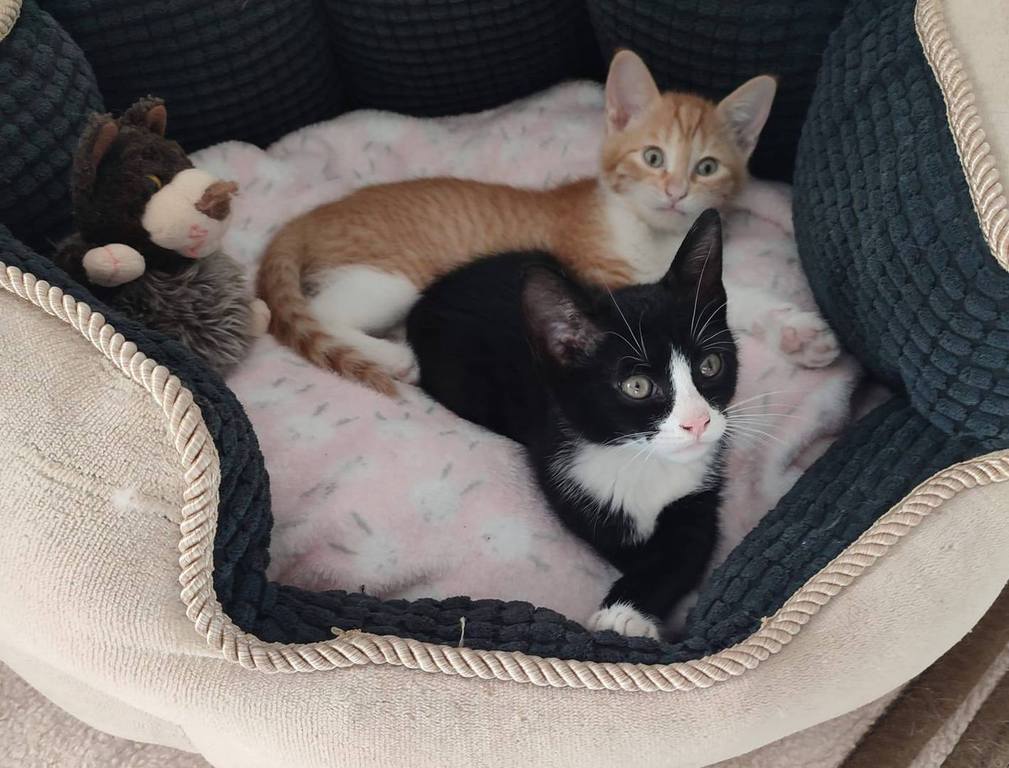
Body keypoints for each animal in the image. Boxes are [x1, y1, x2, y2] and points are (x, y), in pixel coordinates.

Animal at [256, 50, 834, 397]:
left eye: (706, 168)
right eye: (653, 157)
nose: (675, 193)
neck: (649, 232)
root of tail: (306, 218)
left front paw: (798, 332)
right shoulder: (603, 277)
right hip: (390, 276)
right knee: (318, 311)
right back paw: (388, 356)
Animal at [406, 209, 736, 639]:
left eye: (710, 365)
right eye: (637, 386)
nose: (697, 422)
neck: (641, 459)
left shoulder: (700, 489)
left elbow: (686, 548)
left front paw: (625, 613)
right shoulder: (564, 474)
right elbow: (615, 539)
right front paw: (625, 613)